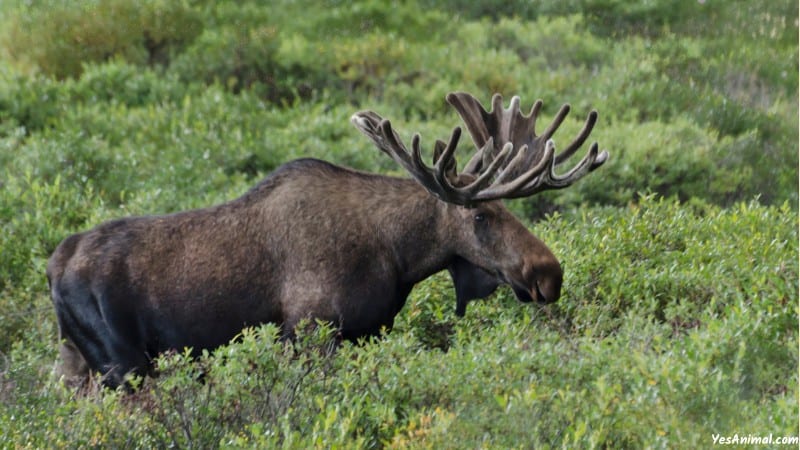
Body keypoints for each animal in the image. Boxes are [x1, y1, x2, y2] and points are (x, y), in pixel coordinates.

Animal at [48, 91, 608, 386]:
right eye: (481, 215)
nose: (548, 273)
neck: (398, 256)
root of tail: (53, 267)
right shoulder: (311, 331)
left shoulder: (369, 330)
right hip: (122, 363)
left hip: (76, 363)